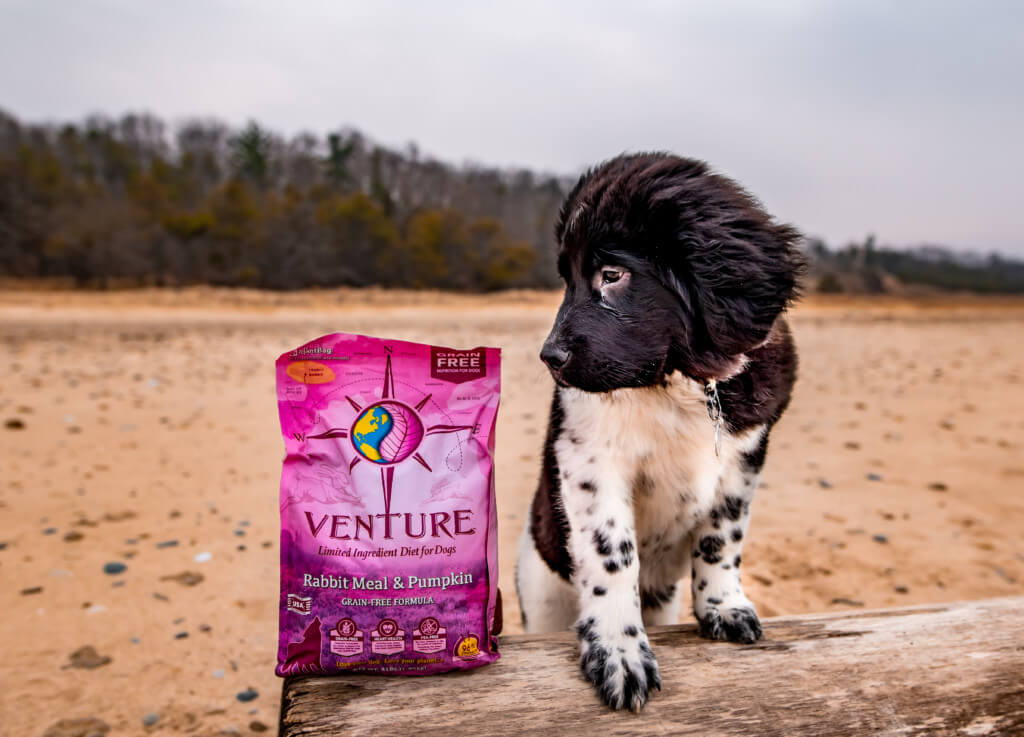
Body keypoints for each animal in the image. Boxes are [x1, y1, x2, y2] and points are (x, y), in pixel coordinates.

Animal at [516, 152, 802, 712]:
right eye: (567, 279)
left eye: (612, 275)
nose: (549, 358)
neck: (677, 381)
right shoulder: (589, 458)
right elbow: (612, 554)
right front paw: (618, 652)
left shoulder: (745, 455)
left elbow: (722, 537)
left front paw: (724, 607)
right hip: (540, 587)